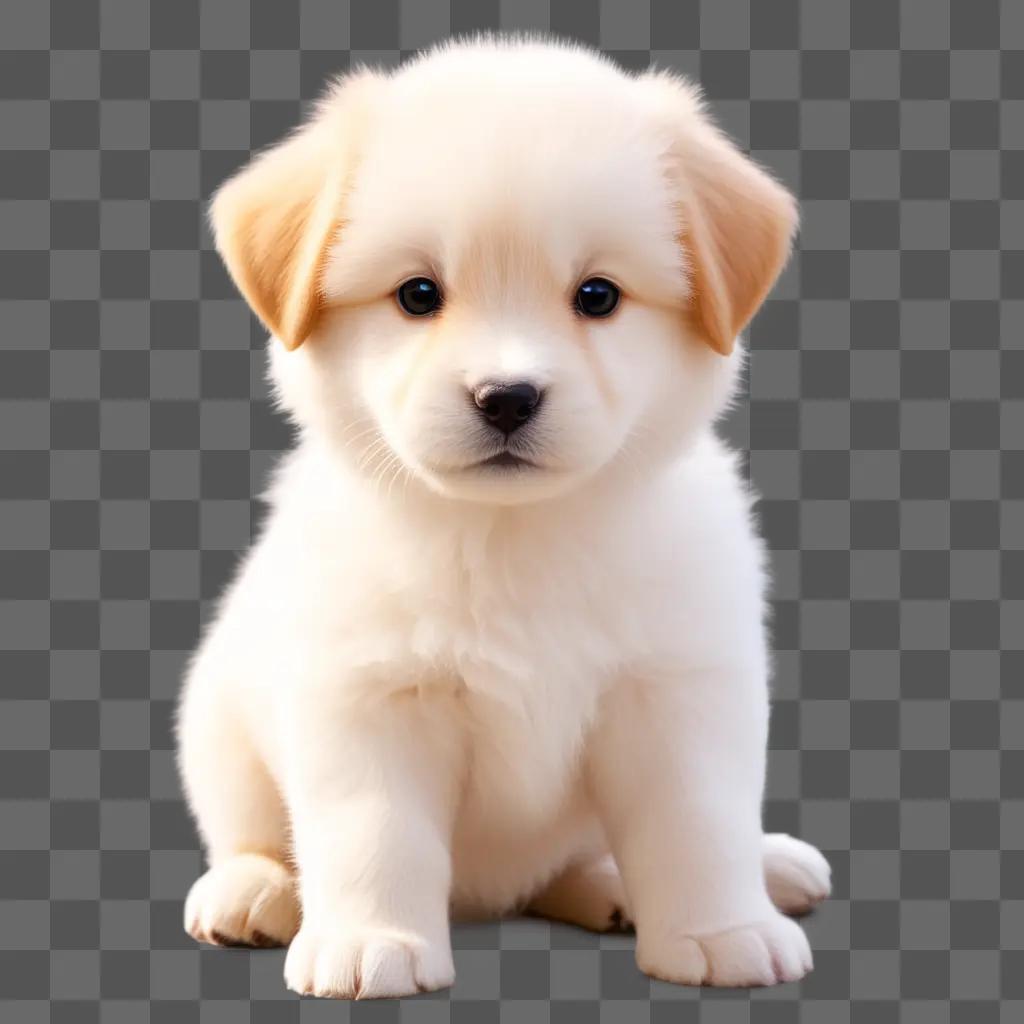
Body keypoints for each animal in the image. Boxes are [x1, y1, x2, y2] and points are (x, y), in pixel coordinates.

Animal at [176, 36, 831, 995]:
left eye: (597, 296)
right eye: (418, 295)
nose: (507, 397)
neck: (514, 536)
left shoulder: (675, 689)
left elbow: (698, 823)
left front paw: (721, 930)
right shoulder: (365, 697)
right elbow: (375, 833)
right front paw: (374, 941)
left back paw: (698, 874)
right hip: (217, 718)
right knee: (250, 832)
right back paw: (255, 890)